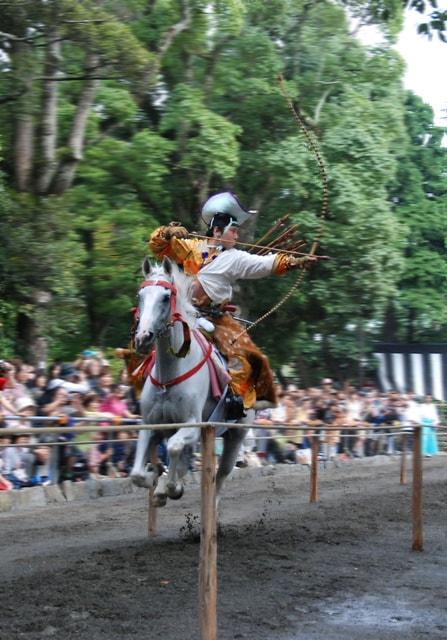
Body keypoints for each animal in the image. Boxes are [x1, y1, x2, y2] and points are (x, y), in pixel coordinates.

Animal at [130, 255, 250, 504]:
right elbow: (136, 473)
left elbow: (174, 447)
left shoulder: (194, 425)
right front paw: (154, 478)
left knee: (220, 475)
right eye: (140, 295)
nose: (143, 337)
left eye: (166, 297)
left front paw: (172, 487)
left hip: (236, 433)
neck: (168, 377)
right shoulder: (150, 425)